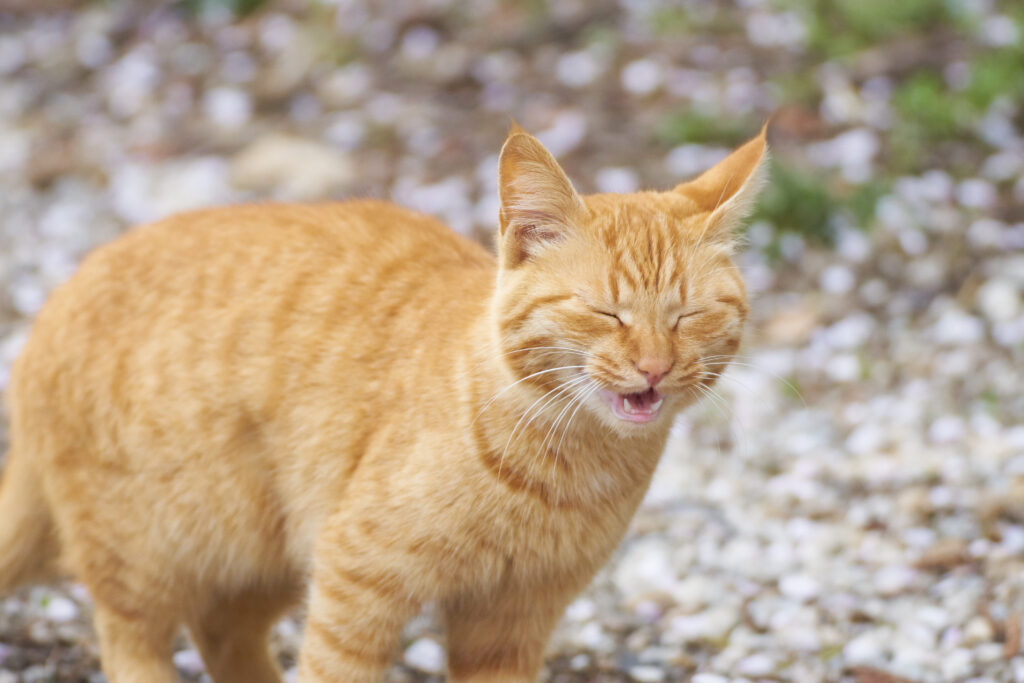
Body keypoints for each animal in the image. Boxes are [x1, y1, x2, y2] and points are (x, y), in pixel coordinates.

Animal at [0, 124, 765, 683]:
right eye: (605, 312)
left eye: (688, 316)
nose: (654, 367)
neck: (573, 468)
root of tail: (51, 306)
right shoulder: (355, 579)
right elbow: (335, 668)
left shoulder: (513, 618)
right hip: (152, 549)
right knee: (132, 637)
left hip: (268, 548)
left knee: (223, 631)